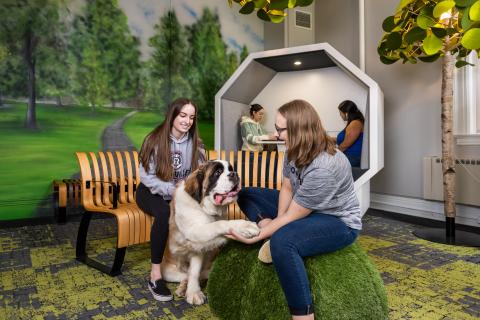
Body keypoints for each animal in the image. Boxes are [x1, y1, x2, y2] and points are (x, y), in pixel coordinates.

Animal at [160, 160, 258, 304]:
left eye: (230, 169)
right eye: (217, 172)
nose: (234, 174)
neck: (202, 206)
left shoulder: (198, 248)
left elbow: (195, 271)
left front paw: (193, 291)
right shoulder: (194, 232)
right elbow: (219, 224)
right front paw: (245, 226)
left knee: (198, 274)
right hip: (167, 271)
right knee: (185, 275)